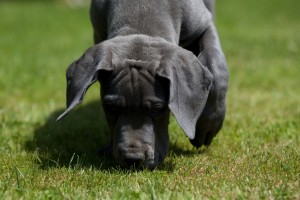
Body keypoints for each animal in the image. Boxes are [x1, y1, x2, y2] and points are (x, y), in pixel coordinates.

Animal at [57, 0, 229, 169]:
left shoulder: (204, 24)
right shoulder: (99, 31)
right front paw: (108, 147)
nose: (132, 159)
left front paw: (206, 126)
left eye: (158, 108)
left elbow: (216, 65)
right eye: (110, 107)